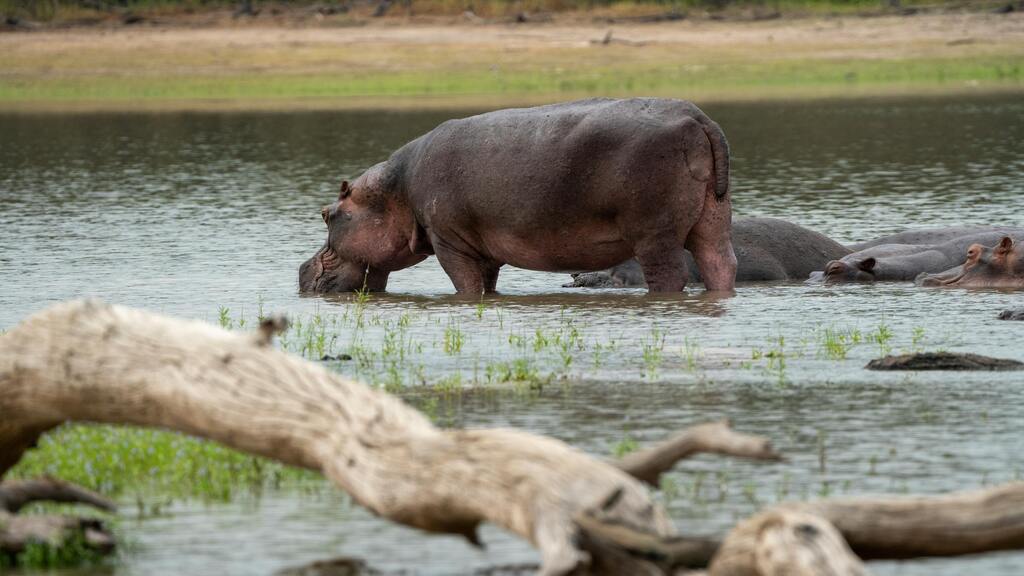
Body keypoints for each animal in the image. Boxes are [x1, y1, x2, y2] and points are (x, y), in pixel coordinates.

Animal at [299, 98, 736, 295]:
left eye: (326, 214)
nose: (301, 270)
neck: (394, 192)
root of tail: (698, 116)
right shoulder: (484, 248)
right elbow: (488, 283)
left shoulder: (449, 241)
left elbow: (465, 286)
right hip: (713, 221)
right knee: (720, 263)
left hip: (653, 235)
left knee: (669, 275)